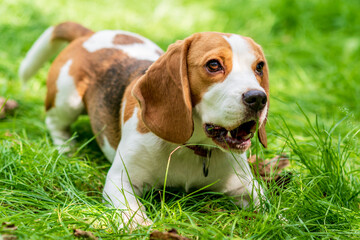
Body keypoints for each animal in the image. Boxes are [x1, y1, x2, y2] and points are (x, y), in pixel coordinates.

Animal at [19, 21, 268, 226]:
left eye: (259, 67)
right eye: (214, 65)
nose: (258, 98)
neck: (190, 146)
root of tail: (90, 34)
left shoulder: (245, 185)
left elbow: (268, 206)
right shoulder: (120, 181)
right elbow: (133, 212)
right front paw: (140, 226)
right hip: (67, 100)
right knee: (55, 123)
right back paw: (66, 147)